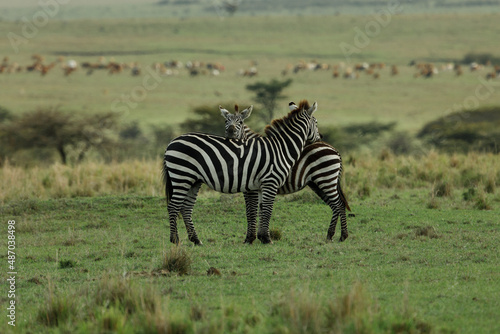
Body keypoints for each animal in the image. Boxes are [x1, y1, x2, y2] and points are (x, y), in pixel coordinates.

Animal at [162, 100, 322, 244]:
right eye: (316, 122)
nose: (320, 139)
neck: (281, 148)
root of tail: (171, 142)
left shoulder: (258, 186)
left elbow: (259, 209)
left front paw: (258, 237)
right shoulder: (270, 182)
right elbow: (267, 209)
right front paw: (267, 239)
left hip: (193, 180)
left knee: (186, 208)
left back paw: (196, 240)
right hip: (182, 176)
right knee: (173, 206)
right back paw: (174, 240)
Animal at [221, 100, 350, 241]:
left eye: (240, 122)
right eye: (225, 121)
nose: (230, 133)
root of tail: (334, 149)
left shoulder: (252, 187)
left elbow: (252, 210)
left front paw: (253, 237)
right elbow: (260, 208)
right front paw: (260, 236)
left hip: (326, 179)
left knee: (339, 204)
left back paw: (341, 235)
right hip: (318, 183)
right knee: (335, 205)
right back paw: (332, 235)